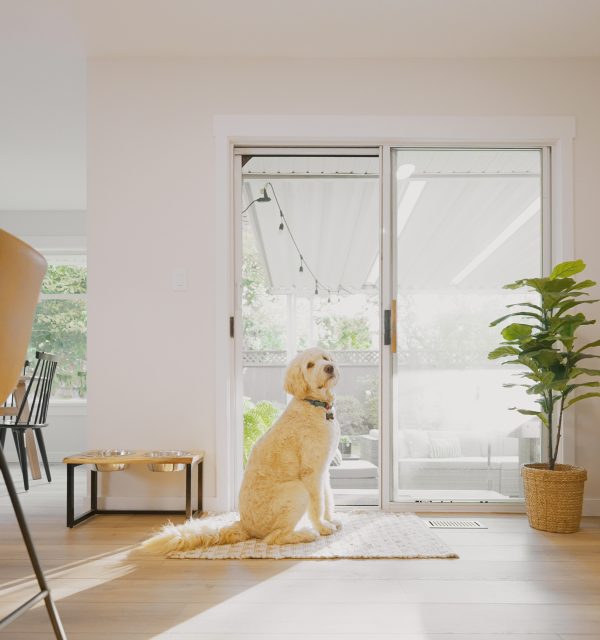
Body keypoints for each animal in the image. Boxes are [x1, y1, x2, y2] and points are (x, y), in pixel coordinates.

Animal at [141, 348, 344, 552]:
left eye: (325, 358)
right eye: (310, 365)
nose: (329, 367)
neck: (314, 404)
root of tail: (244, 525)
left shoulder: (323, 470)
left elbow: (328, 498)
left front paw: (331, 520)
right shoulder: (311, 472)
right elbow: (318, 503)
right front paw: (323, 527)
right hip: (297, 490)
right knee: (274, 538)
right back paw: (306, 533)